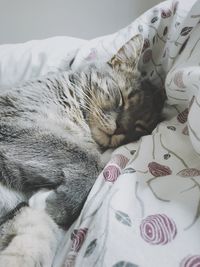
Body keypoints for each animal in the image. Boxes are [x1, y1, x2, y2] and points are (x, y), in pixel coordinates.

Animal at [0, 34, 165, 266]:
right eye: (121, 97)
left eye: (139, 127)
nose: (120, 128)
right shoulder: (13, 122)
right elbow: (90, 160)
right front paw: (58, 205)